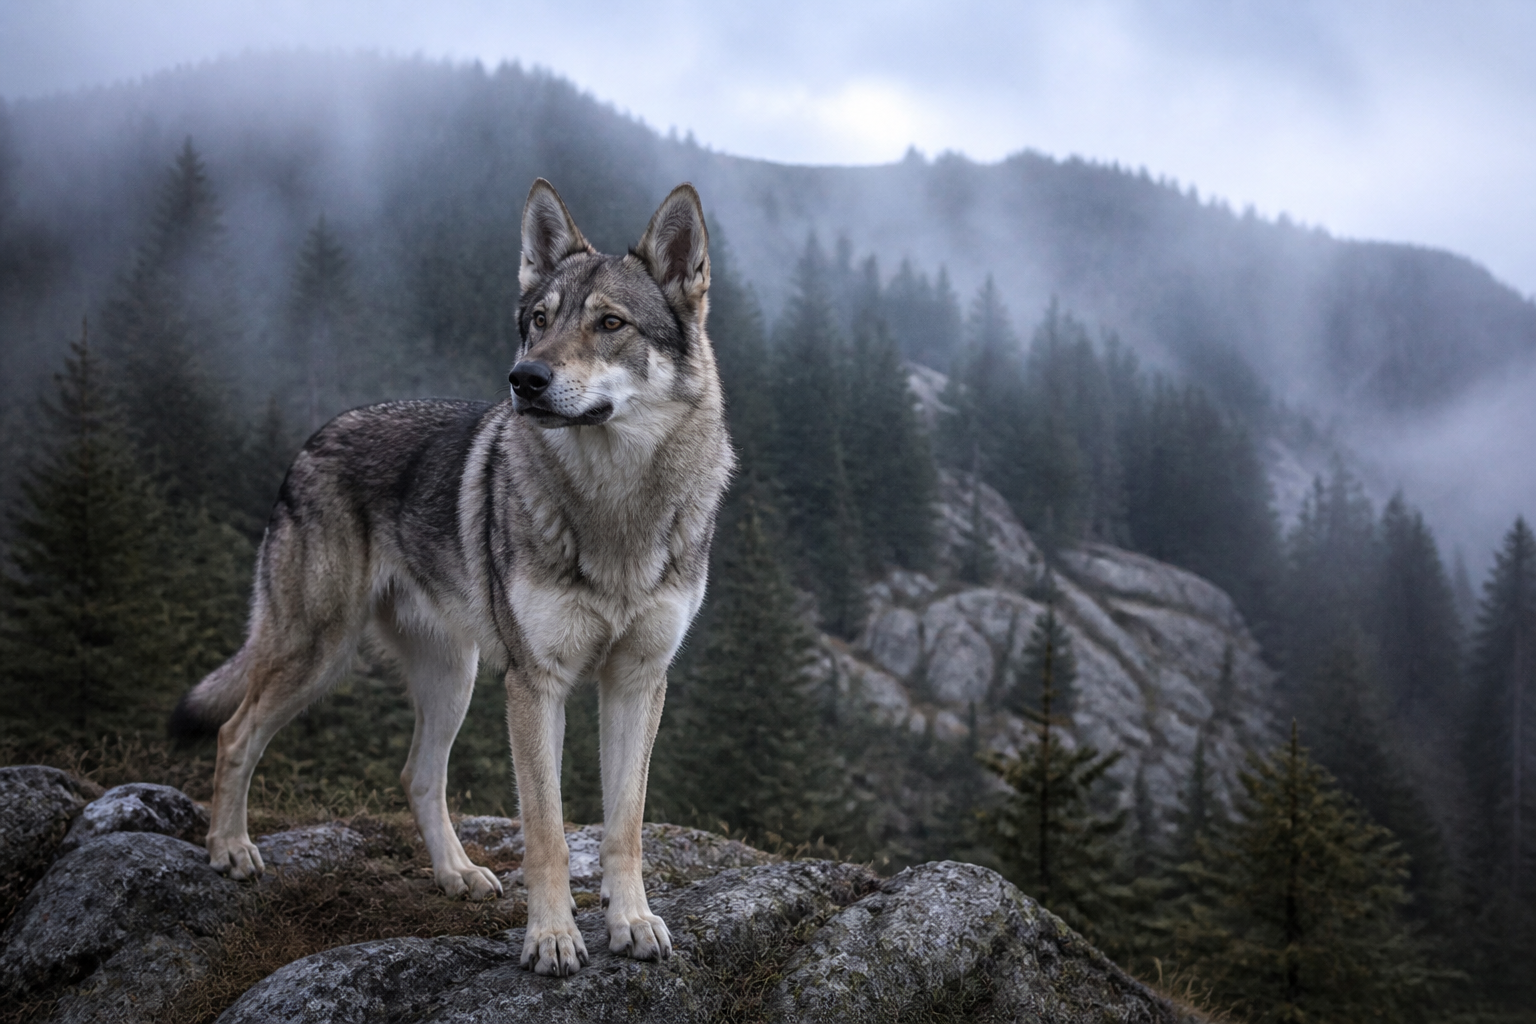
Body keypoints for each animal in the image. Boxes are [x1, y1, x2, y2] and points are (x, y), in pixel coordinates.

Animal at [169, 179, 733, 976]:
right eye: (539, 321)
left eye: (610, 324)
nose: (525, 379)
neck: (614, 511)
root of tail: (312, 439)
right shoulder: (535, 684)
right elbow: (548, 830)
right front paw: (551, 938)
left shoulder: (637, 680)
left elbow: (625, 824)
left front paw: (632, 922)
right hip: (320, 654)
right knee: (234, 733)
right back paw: (230, 850)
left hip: (452, 675)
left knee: (417, 774)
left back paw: (456, 874)